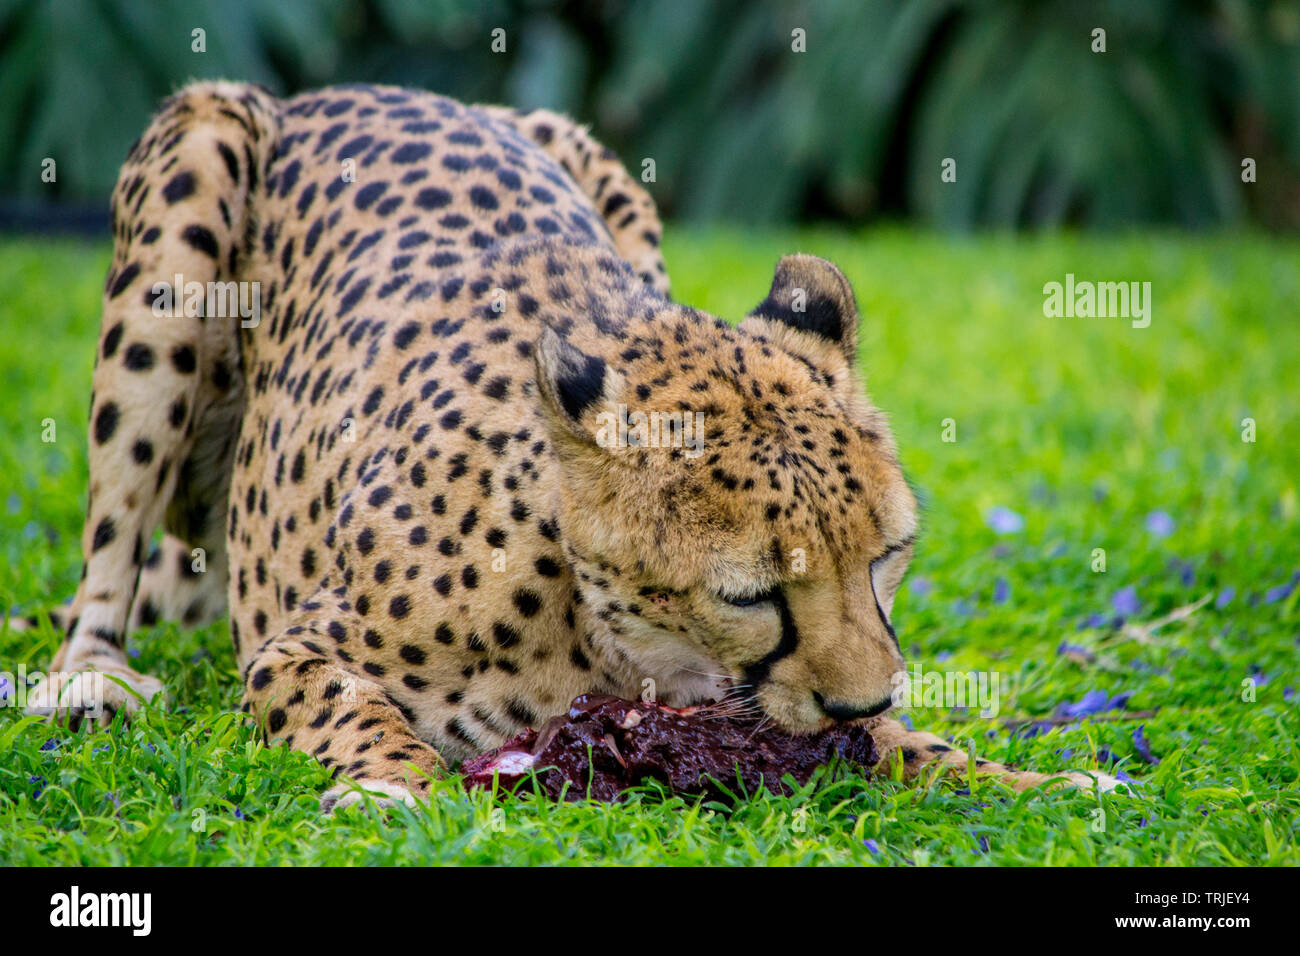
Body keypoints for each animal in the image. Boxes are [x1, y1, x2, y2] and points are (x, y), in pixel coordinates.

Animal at [20, 82, 1118, 806]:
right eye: (750, 595)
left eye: (888, 556)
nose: (856, 703)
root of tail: (353, 86)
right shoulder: (292, 646)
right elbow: (353, 709)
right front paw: (400, 788)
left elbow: (919, 746)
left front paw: (1035, 777)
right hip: (188, 198)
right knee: (111, 539)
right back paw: (90, 678)